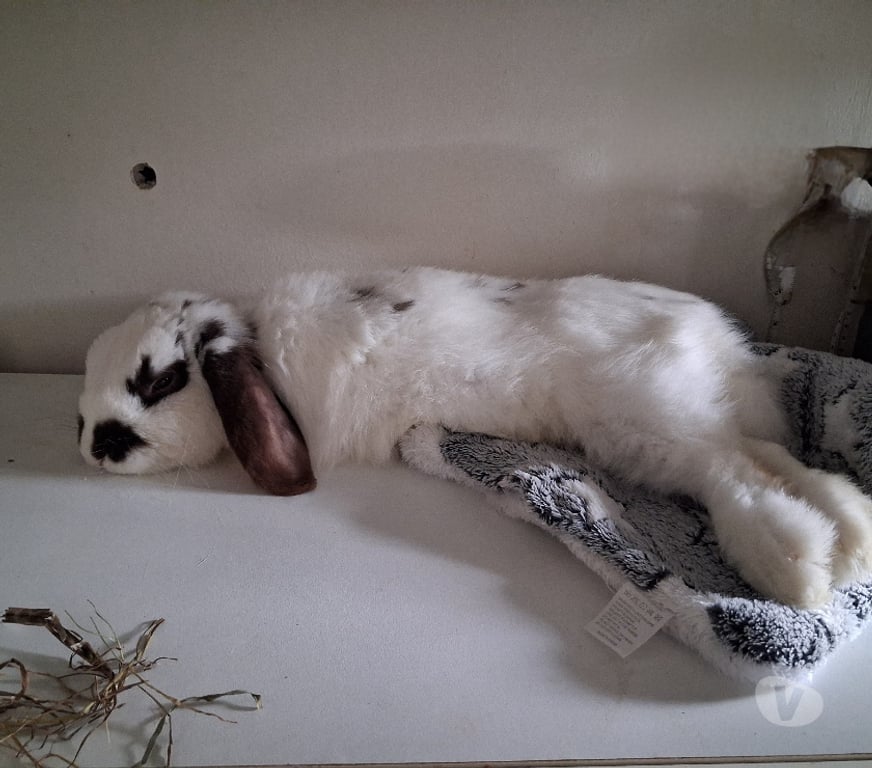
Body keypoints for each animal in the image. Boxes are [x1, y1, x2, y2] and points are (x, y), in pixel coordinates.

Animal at [78, 267, 872, 608]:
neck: (262, 357)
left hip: (645, 420)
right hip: (682, 424)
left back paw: (798, 569)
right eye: (80, 411)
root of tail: (723, 347)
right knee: (765, 458)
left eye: (160, 381)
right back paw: (851, 540)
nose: (93, 447)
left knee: (732, 475)